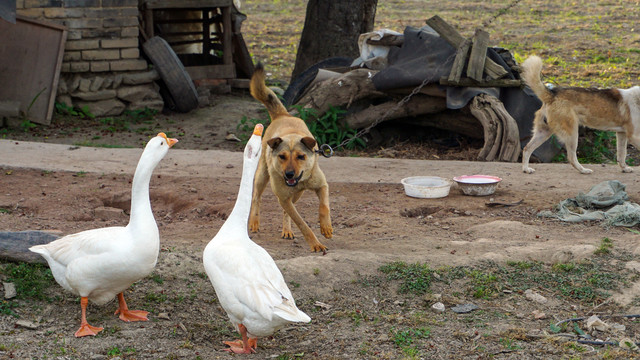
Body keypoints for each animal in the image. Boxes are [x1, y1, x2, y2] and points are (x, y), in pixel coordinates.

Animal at [248, 62, 332, 253]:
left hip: (297, 195)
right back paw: (254, 222)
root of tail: (282, 115)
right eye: (282, 156)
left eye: (301, 156)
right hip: (262, 176)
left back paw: (287, 230)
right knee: (256, 197)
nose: (289, 175)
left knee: (287, 211)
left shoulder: (322, 185)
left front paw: (326, 227)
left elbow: (324, 206)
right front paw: (315, 244)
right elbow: (302, 224)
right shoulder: (284, 198)